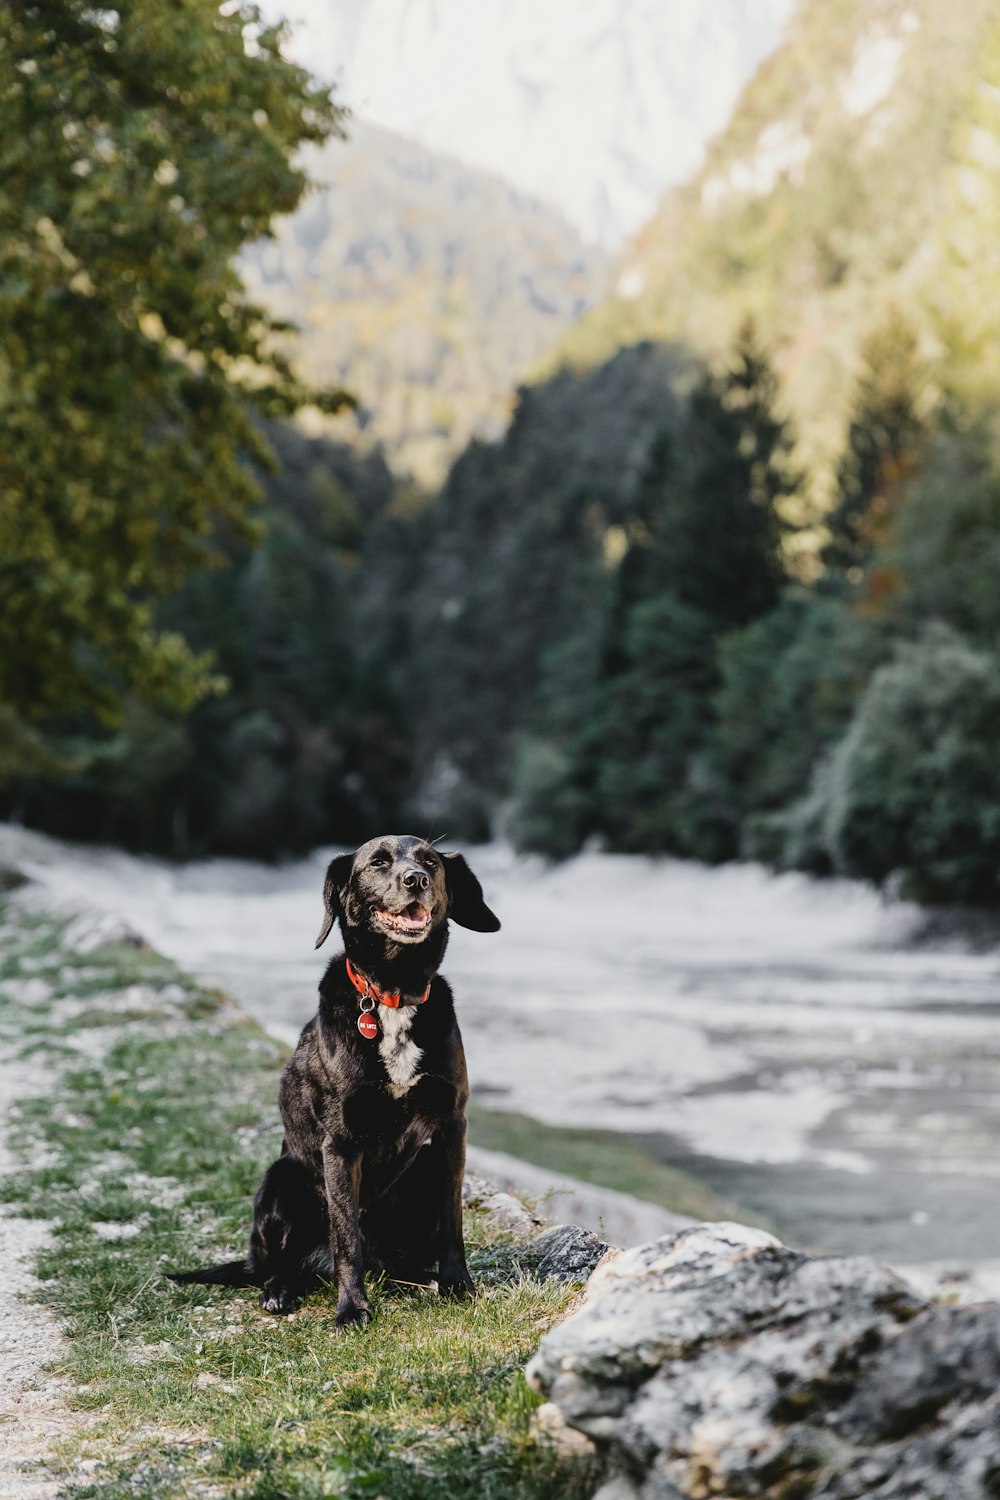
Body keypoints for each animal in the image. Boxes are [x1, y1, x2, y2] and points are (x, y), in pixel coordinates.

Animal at [173, 834, 500, 1326]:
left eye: (430, 861)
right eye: (378, 861)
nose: (416, 879)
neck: (393, 994)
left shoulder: (450, 1127)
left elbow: (453, 1219)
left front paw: (458, 1284)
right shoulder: (340, 1143)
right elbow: (346, 1236)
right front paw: (351, 1309)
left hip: (420, 1169)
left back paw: (419, 1278)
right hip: (280, 1181)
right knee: (286, 1264)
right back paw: (280, 1290)